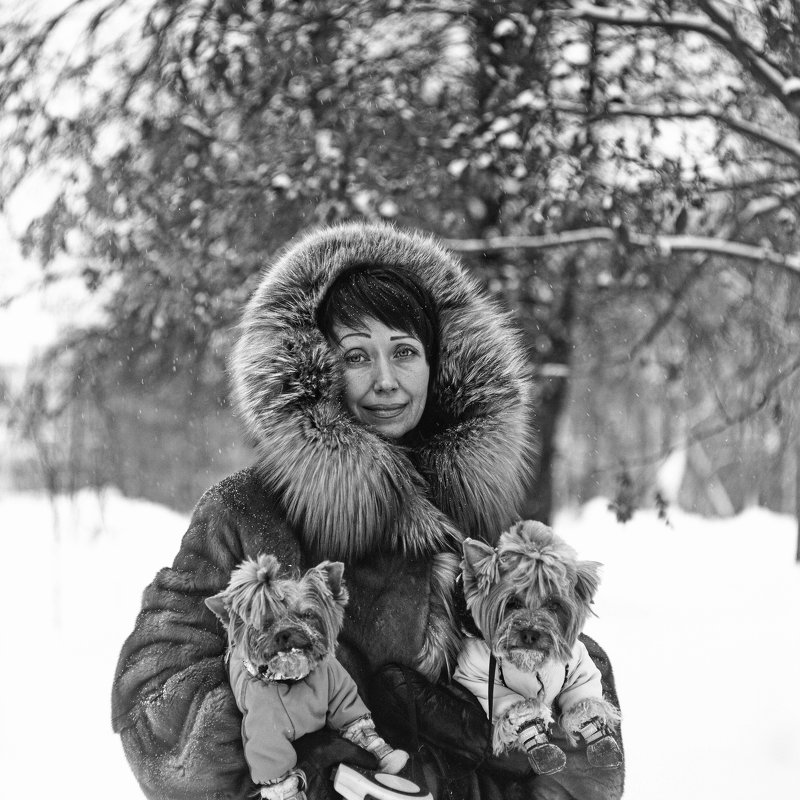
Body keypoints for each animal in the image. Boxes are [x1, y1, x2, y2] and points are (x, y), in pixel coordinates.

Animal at [206, 556, 406, 800]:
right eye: (264, 623)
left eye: (307, 615)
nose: (284, 633)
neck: (293, 682)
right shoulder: (267, 738)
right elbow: (279, 774)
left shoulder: (338, 690)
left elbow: (355, 722)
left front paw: (382, 754)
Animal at [454, 520, 620, 776]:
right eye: (511, 603)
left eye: (554, 605)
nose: (530, 633)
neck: (532, 663)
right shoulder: (477, 673)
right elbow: (519, 709)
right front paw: (543, 750)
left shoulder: (578, 667)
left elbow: (583, 698)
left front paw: (600, 740)